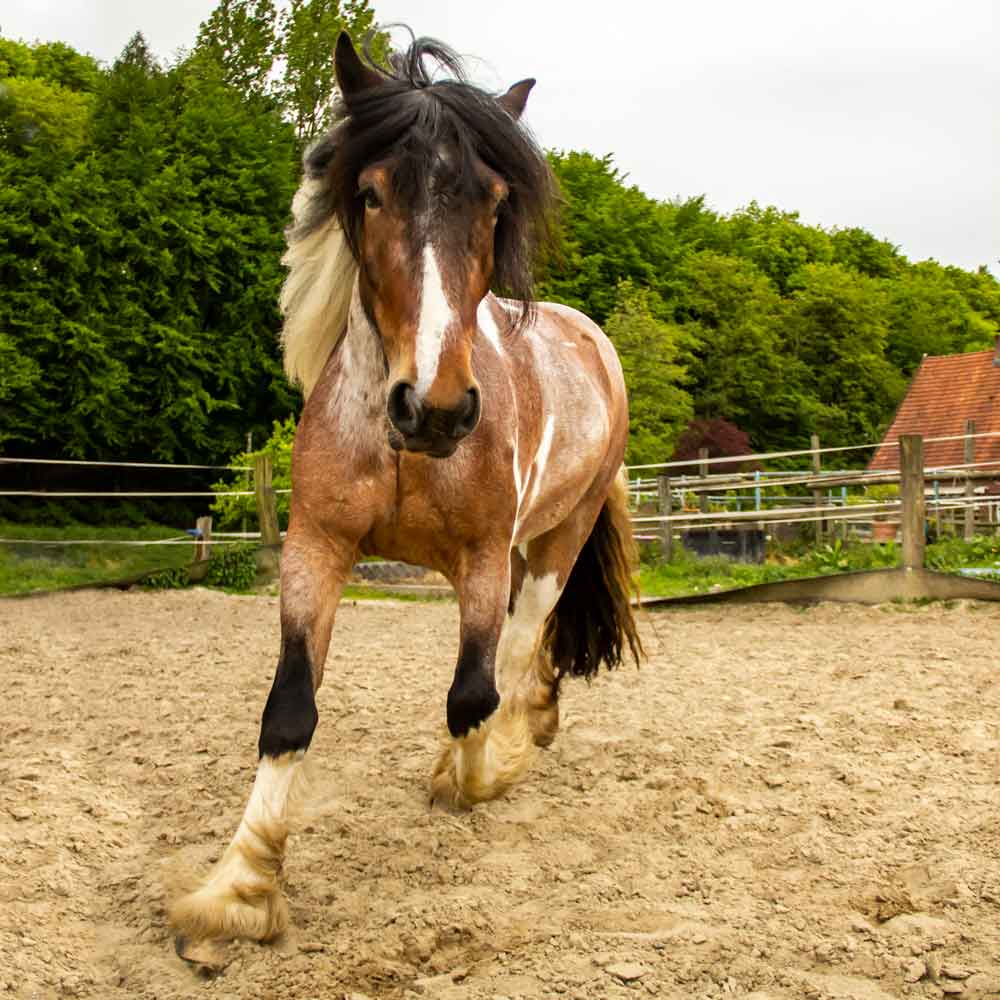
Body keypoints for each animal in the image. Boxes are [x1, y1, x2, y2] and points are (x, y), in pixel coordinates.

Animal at [169, 29, 644, 952]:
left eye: (494, 204)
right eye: (372, 192)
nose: (437, 408)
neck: (402, 451)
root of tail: (594, 341)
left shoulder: (483, 561)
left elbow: (471, 693)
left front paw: (475, 776)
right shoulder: (316, 548)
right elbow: (289, 710)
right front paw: (236, 891)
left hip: (552, 543)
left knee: (522, 642)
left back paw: (513, 739)